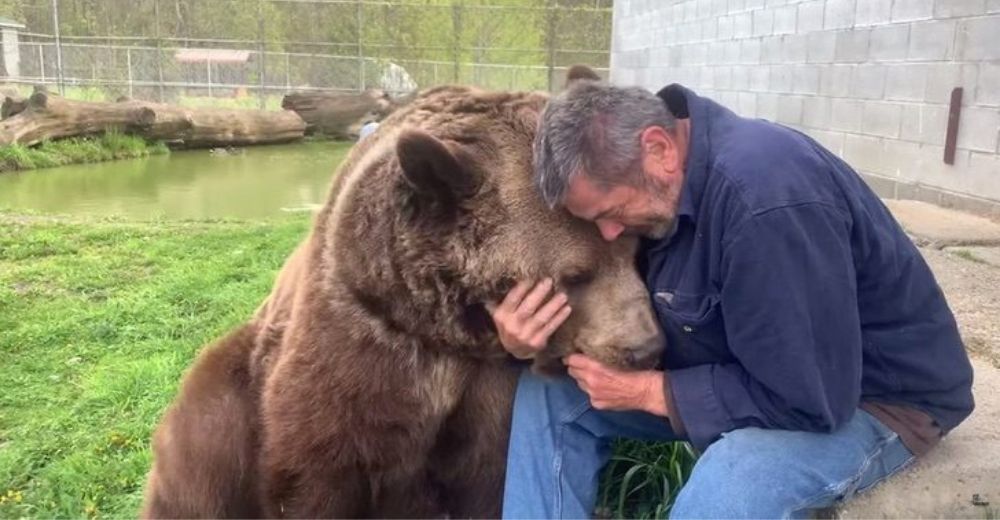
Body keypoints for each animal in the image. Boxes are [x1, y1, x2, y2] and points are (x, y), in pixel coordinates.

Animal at [141, 83, 660, 516]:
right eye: (575, 273)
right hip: (232, 387)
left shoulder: (487, 385)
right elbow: (314, 472)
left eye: (634, 249)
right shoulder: (358, 342)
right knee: (202, 448)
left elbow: (489, 472)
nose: (646, 347)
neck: (442, 326)